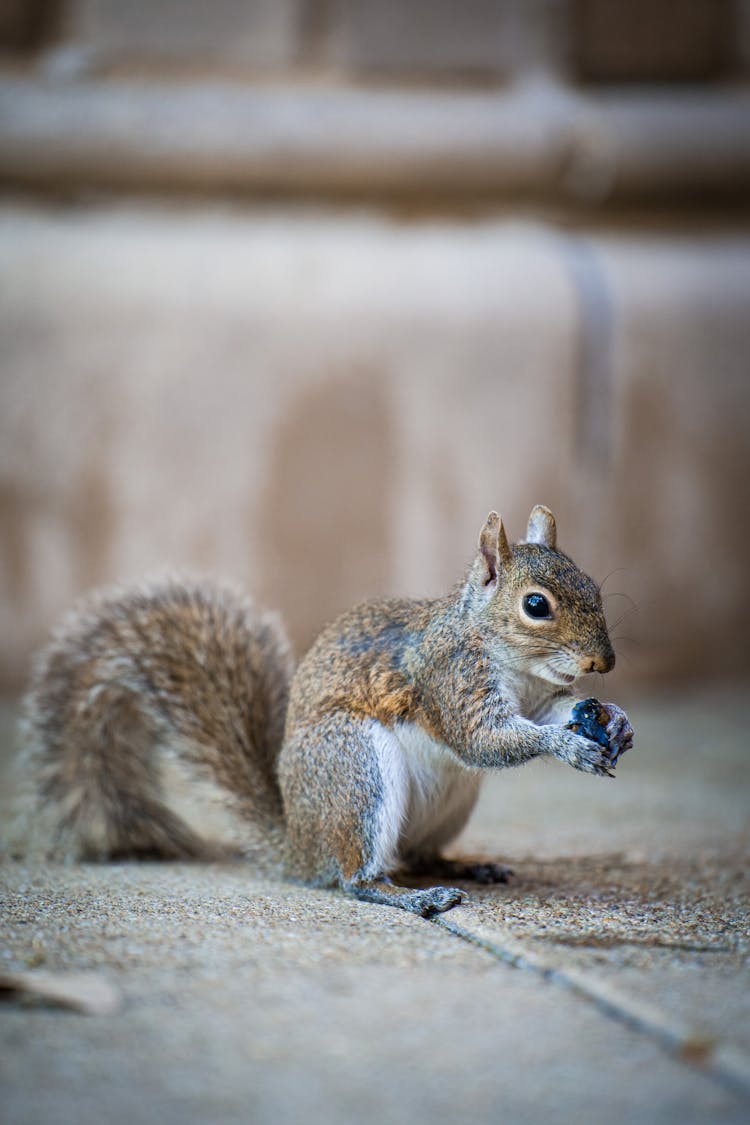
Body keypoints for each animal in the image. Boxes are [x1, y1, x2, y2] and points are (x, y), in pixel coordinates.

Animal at [17, 506, 634, 918]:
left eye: (592, 586)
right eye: (536, 605)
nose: (603, 662)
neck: (512, 661)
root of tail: (300, 846)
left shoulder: (540, 697)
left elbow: (554, 711)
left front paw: (613, 720)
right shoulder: (448, 680)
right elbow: (481, 741)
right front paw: (570, 746)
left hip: (449, 802)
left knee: (416, 853)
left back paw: (462, 866)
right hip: (356, 769)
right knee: (357, 878)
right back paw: (416, 897)